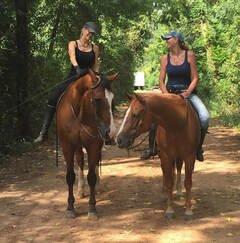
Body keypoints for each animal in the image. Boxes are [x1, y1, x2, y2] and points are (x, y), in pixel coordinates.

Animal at [56, 70, 116, 218]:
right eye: (97, 99)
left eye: (112, 99)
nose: (111, 132)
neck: (78, 113)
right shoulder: (67, 146)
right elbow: (70, 176)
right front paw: (70, 207)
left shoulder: (93, 144)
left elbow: (92, 176)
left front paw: (92, 208)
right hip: (78, 146)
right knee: (80, 162)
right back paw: (80, 190)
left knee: (95, 163)